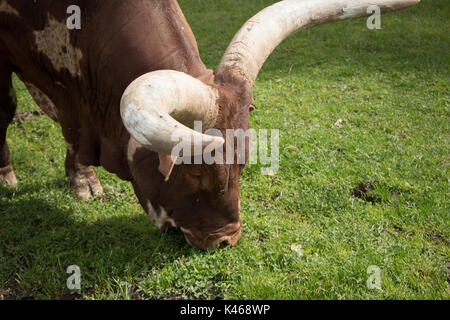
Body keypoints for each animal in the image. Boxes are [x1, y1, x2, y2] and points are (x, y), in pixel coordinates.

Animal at [1, 0, 420, 250]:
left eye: (244, 162)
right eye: (196, 173)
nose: (226, 241)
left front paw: (82, 178)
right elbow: (8, 108)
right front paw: (7, 175)